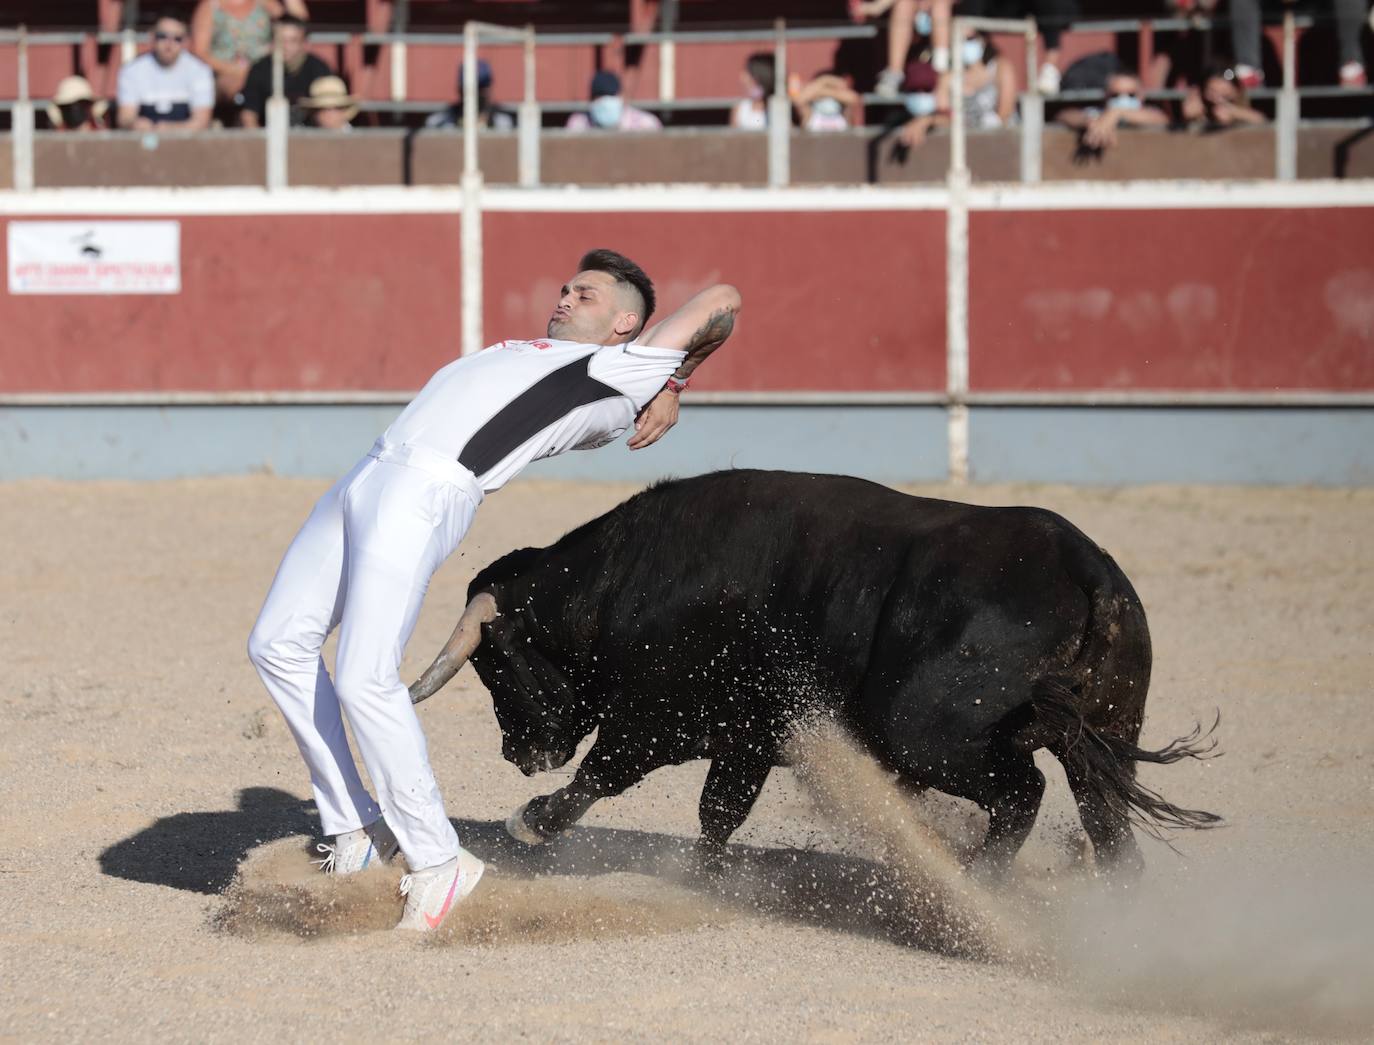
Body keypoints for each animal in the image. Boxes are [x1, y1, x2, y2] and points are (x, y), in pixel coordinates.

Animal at [403, 469, 1214, 878]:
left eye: (493, 666)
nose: (519, 753)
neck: (624, 582)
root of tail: (1083, 567)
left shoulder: (655, 722)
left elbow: (597, 778)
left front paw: (529, 822)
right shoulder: (748, 738)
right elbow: (718, 813)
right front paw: (707, 879)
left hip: (926, 734)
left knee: (1023, 794)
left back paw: (973, 885)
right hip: (1107, 733)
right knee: (1105, 821)